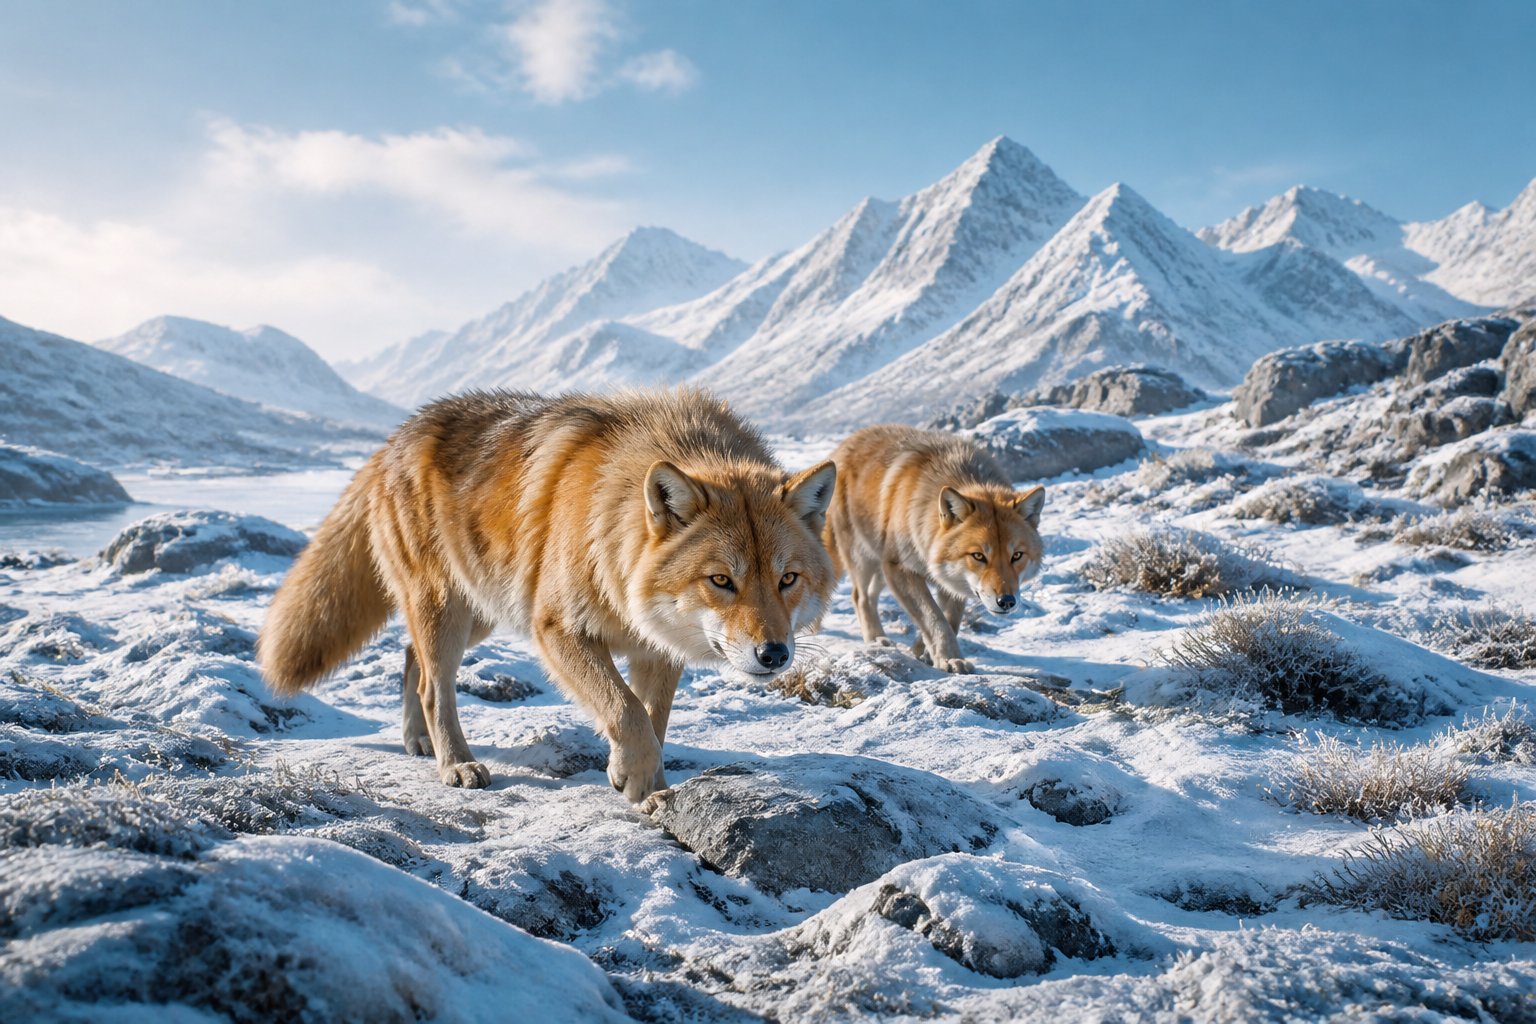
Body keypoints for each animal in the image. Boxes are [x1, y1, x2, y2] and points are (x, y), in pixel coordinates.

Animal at [257, 389, 836, 808]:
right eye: (721, 581)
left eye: (787, 579)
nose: (774, 655)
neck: (614, 538)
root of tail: (393, 438)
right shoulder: (557, 629)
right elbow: (625, 711)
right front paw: (634, 776)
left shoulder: (656, 646)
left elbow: (652, 719)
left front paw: (651, 791)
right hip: (450, 610)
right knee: (433, 687)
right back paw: (455, 764)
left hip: (482, 611)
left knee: (410, 662)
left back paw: (418, 742)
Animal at [824, 425, 1045, 673]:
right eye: (979, 556)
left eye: (1016, 556)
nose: (1006, 601)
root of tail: (843, 446)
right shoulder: (899, 569)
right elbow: (934, 617)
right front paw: (949, 658)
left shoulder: (952, 582)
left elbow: (949, 619)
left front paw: (924, 649)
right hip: (865, 558)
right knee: (859, 596)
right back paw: (876, 640)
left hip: (880, 566)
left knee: (869, 595)